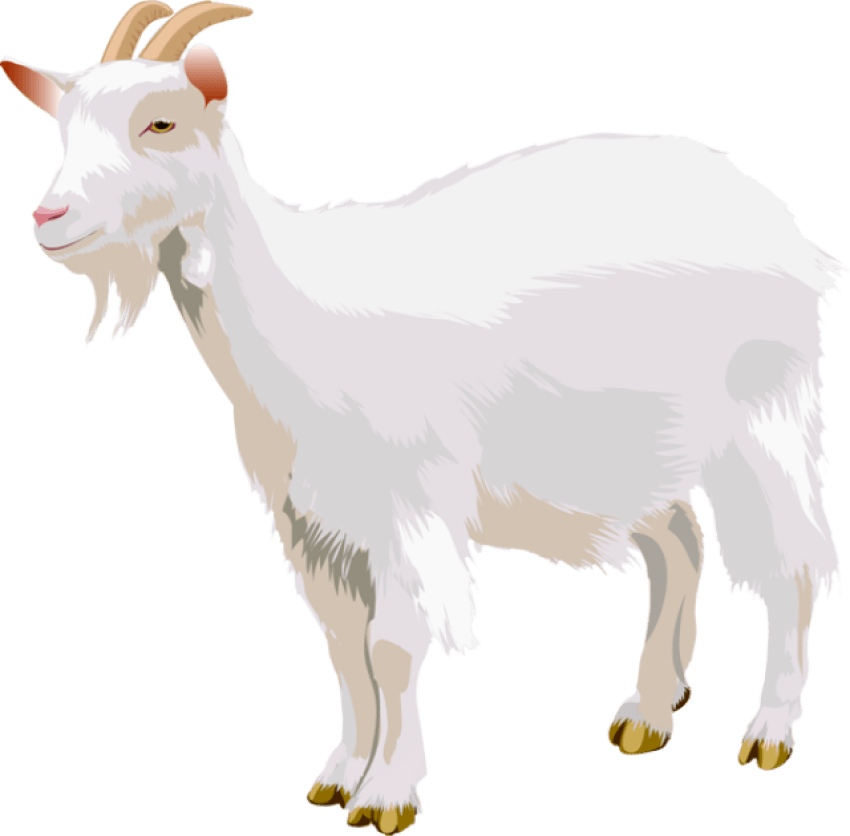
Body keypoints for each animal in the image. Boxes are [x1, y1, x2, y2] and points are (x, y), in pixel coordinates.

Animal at [2, 2, 844, 833]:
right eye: (63, 131)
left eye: (161, 123)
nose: (48, 217)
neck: (295, 309)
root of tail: (773, 212)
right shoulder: (310, 523)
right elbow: (343, 648)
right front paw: (339, 775)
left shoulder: (405, 505)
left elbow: (392, 648)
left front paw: (387, 794)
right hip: (630, 447)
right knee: (680, 546)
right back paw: (650, 709)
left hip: (764, 414)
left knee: (796, 559)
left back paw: (769, 731)